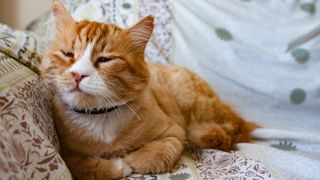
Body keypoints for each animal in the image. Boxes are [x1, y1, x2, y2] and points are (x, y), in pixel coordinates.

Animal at [40, 0, 258, 179]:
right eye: (68, 54)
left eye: (105, 59)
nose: (78, 74)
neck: (101, 117)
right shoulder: (68, 153)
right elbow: (83, 167)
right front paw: (116, 165)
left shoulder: (174, 134)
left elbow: (153, 156)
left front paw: (127, 161)